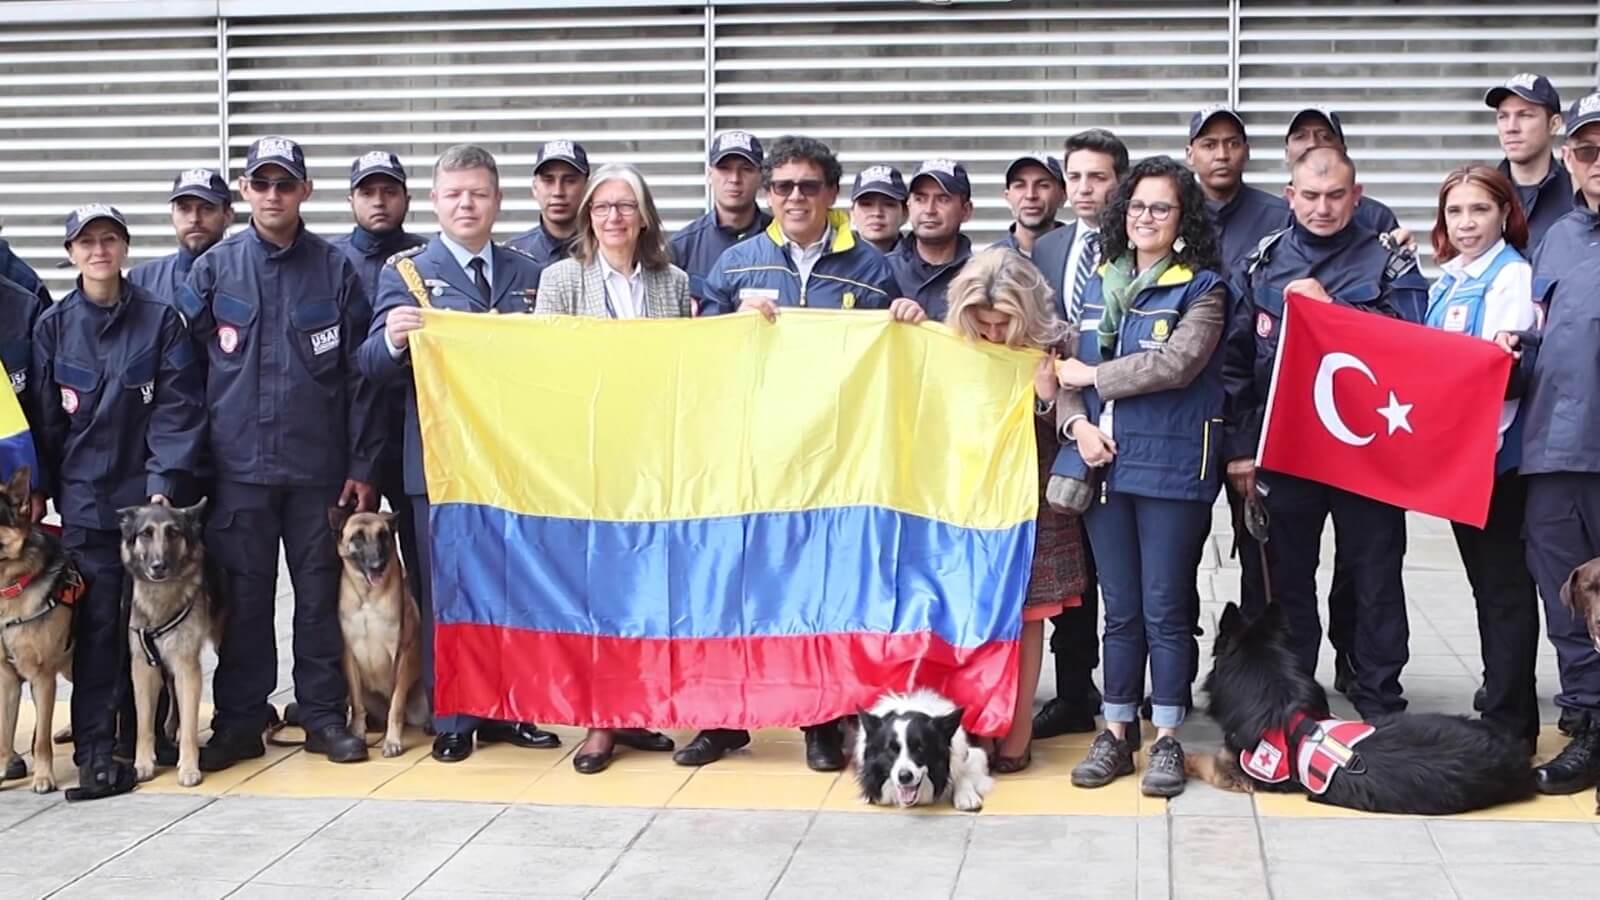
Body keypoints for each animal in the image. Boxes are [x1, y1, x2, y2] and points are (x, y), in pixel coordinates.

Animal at [118, 496, 217, 784]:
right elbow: (144, 723)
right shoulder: (142, 668)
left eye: (173, 533)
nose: (158, 566)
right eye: (146, 534)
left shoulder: (187, 666)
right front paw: (142, 763)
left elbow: (190, 724)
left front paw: (189, 767)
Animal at [328, 509, 425, 752]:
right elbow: (357, 704)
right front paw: (356, 733)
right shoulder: (348, 653)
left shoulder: (402, 652)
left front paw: (392, 741)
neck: (367, 596)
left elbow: (396, 703)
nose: (377, 565)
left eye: (383, 535)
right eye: (357, 538)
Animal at [857, 688, 992, 810]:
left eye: (920, 748)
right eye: (891, 749)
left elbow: (962, 772)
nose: (904, 777)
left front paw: (966, 796)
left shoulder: (973, 752)